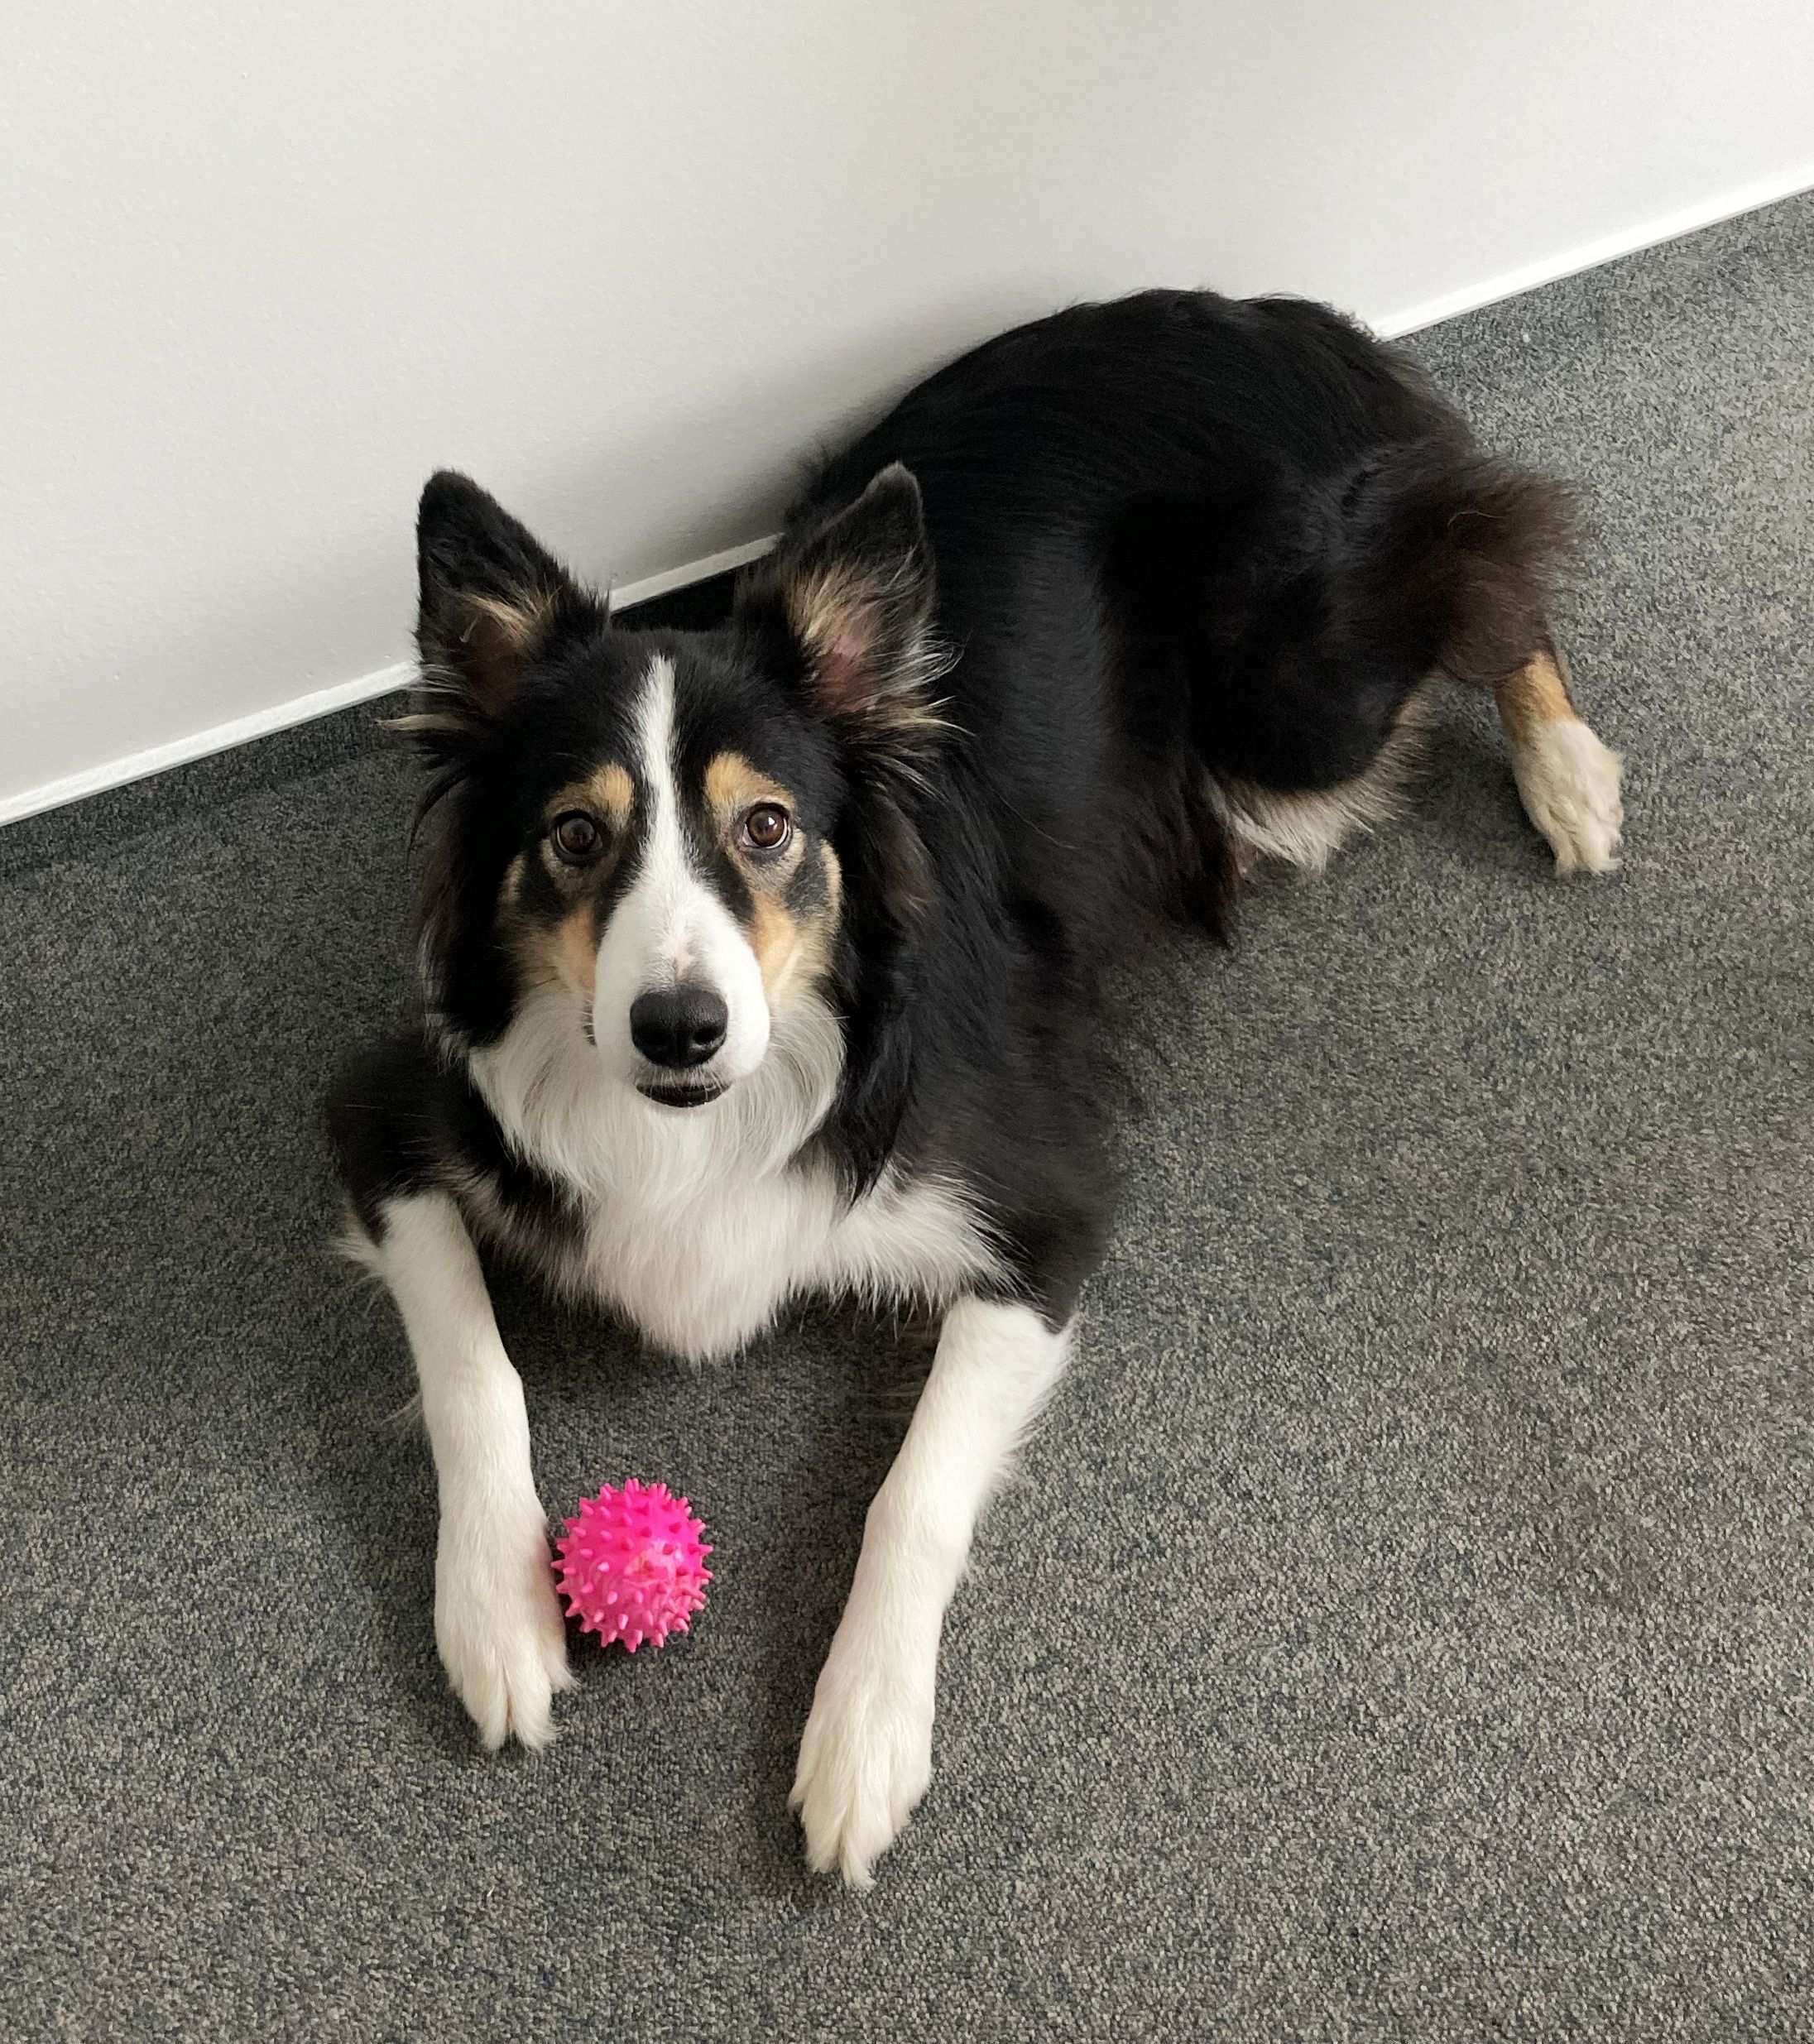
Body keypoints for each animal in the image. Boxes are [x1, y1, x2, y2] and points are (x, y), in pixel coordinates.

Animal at [328, 288, 1623, 1888]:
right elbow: (474, 1366)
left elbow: (911, 1492)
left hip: (1297, 703)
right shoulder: (394, 1115)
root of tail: (1276, 312)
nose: (680, 1030)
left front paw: (862, 1736)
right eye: (575, 836)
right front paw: (496, 1611)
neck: (708, 1118)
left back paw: (1568, 772)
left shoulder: (1045, 1206)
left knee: (1498, 562)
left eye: (767, 827)